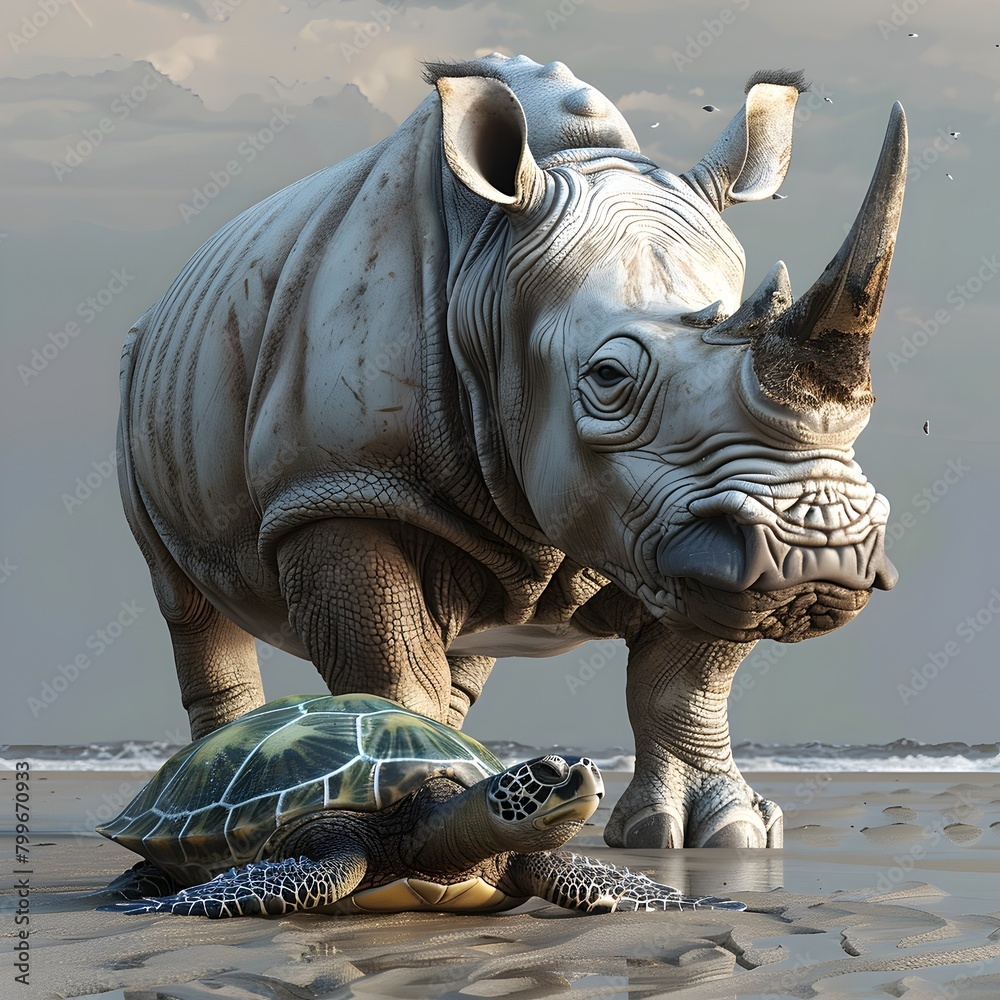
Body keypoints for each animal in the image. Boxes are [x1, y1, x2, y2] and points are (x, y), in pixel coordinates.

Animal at [118, 54, 906, 850]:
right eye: (608, 378)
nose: (821, 548)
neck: (491, 277)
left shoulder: (685, 527)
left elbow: (685, 682)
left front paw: (718, 832)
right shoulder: (336, 484)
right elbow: (387, 666)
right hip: (140, 371)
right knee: (186, 603)